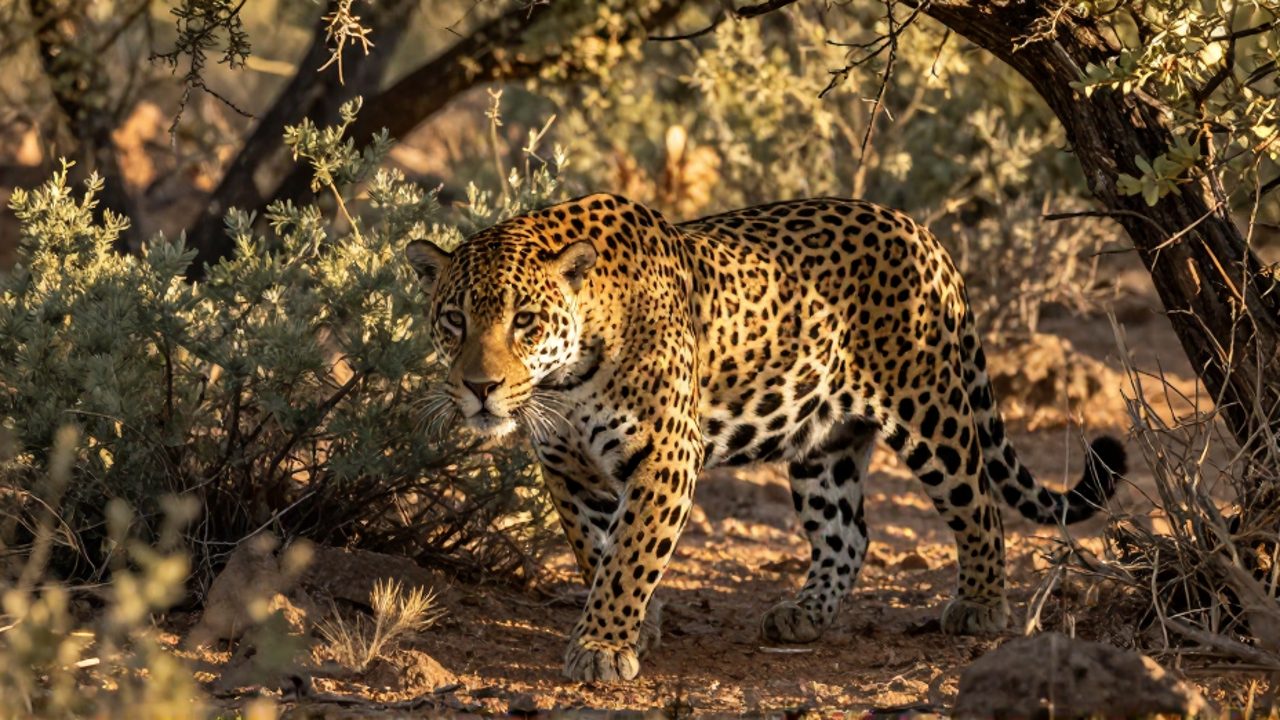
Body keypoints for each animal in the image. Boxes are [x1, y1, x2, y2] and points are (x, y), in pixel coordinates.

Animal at [405, 193, 1126, 683]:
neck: (566, 376)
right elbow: (596, 549)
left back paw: (979, 606)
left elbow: (632, 551)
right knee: (848, 534)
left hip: (930, 410)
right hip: (823, 442)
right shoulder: (568, 469)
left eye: (525, 321)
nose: (479, 387)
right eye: (453, 319)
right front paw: (638, 627)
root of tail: (920, 229)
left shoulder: (666, 455)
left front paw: (604, 647)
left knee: (978, 501)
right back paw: (804, 614)